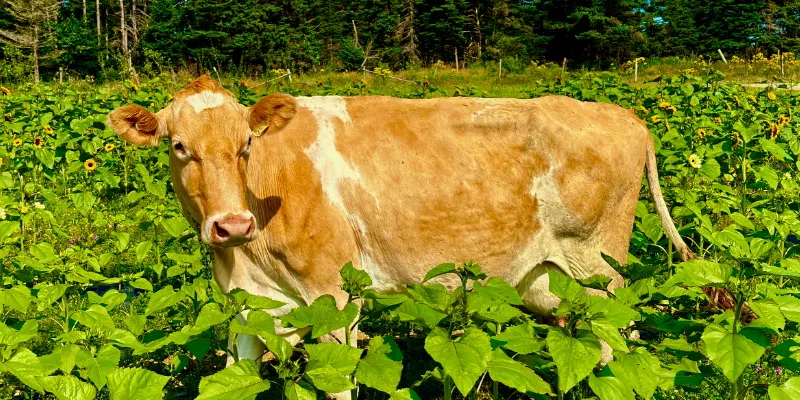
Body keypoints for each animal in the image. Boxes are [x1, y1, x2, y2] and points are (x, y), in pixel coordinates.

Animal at [108, 74, 692, 382]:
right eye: (179, 146)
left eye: (246, 144)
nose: (232, 225)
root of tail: (624, 115)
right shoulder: (246, 305)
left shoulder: (334, 295)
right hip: (552, 281)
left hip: (600, 270)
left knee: (618, 343)